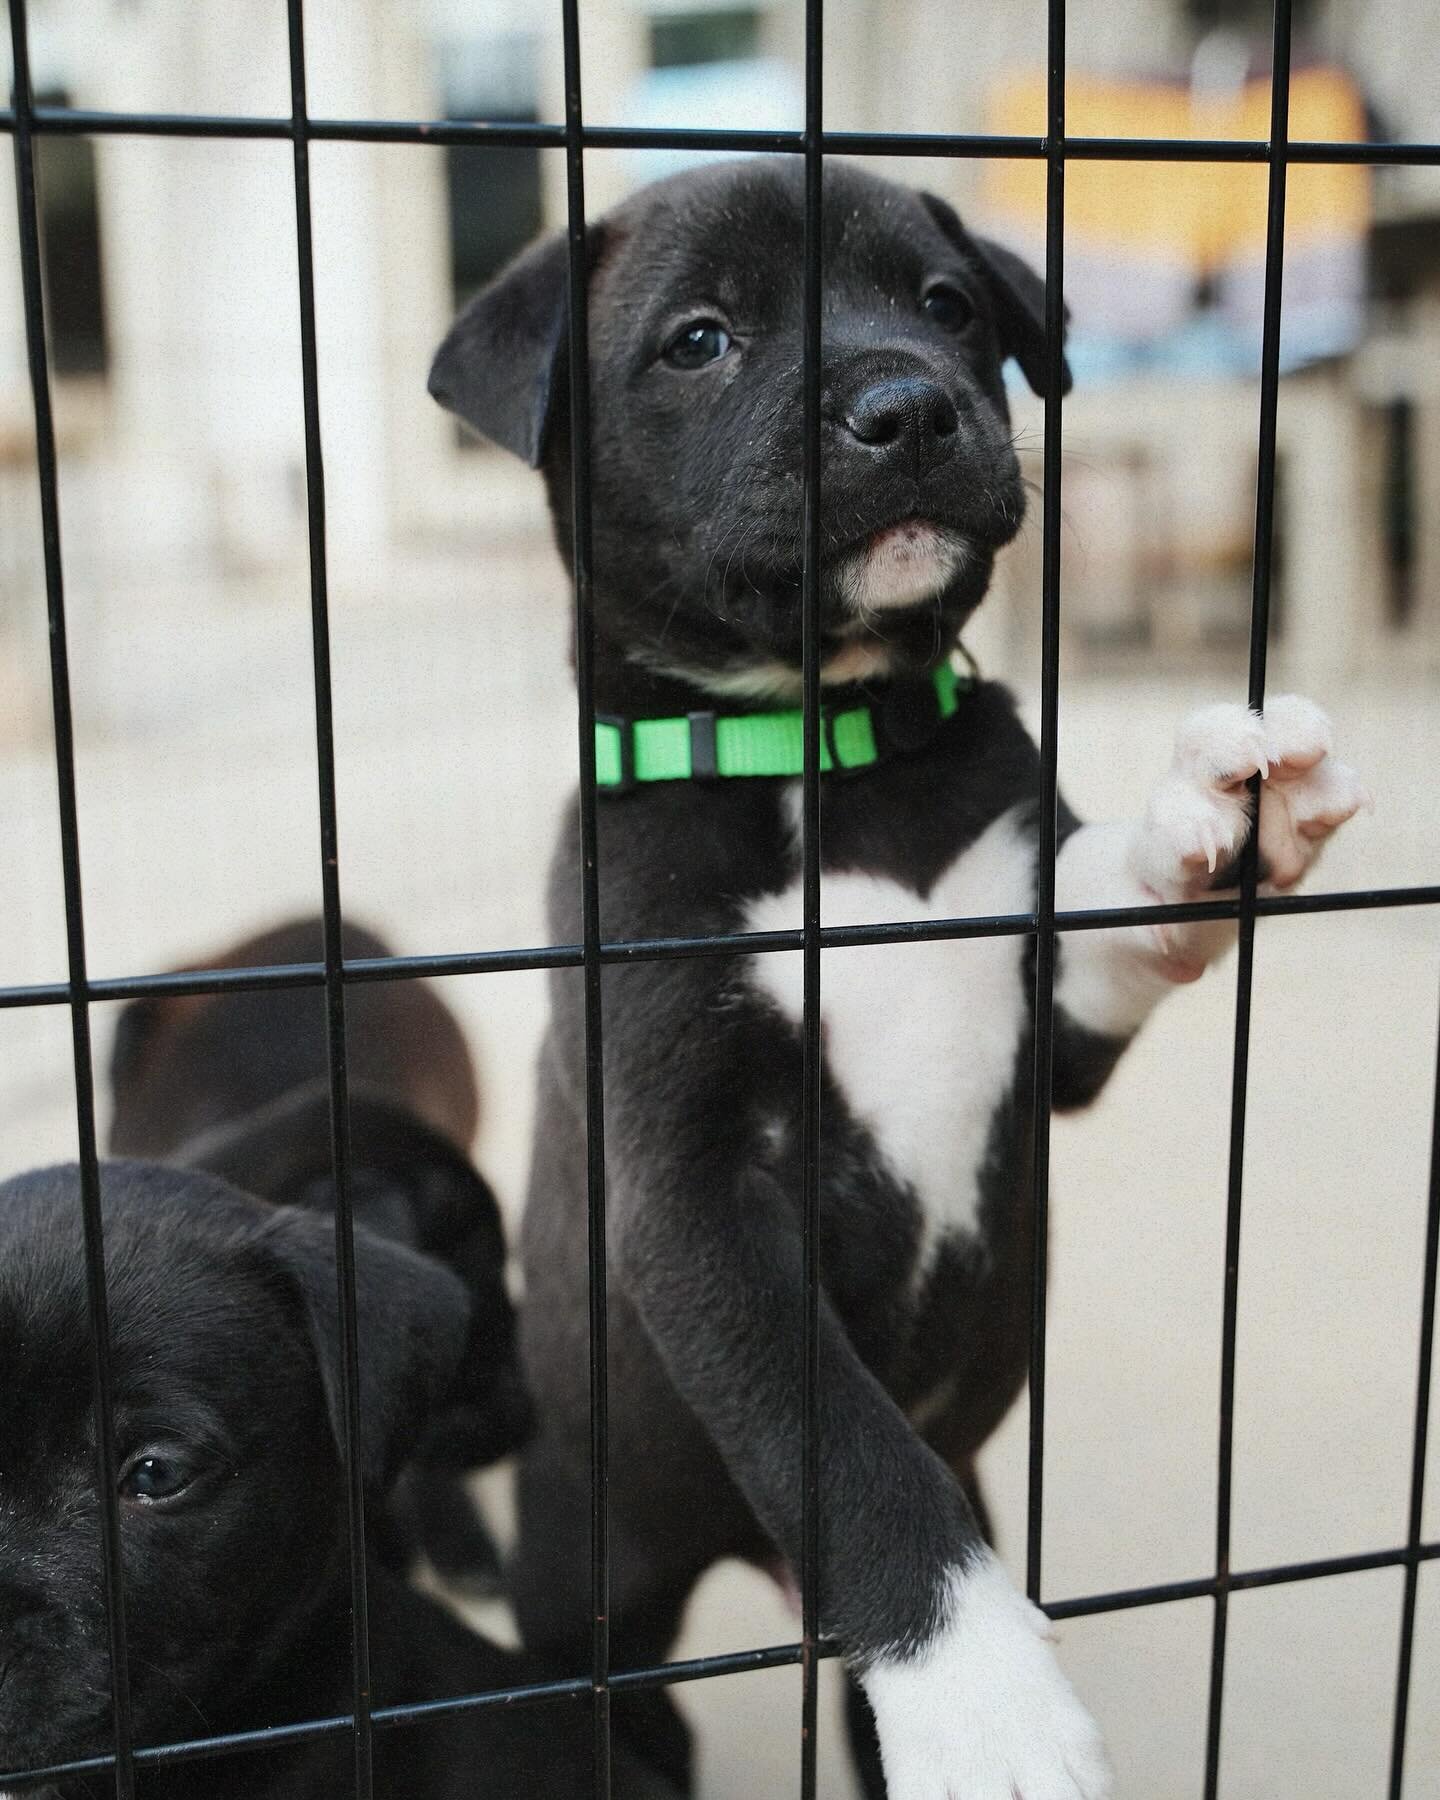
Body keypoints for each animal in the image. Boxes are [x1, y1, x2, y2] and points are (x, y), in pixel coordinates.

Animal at [424, 158, 1360, 1800]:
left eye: (947, 305)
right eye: (701, 341)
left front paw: (1216, 808)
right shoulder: (697, 1197)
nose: (910, 406)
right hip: (597, 1605)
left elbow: (1106, 908)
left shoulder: (1042, 1008)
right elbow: (851, 1450)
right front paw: (986, 1702)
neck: (826, 753)